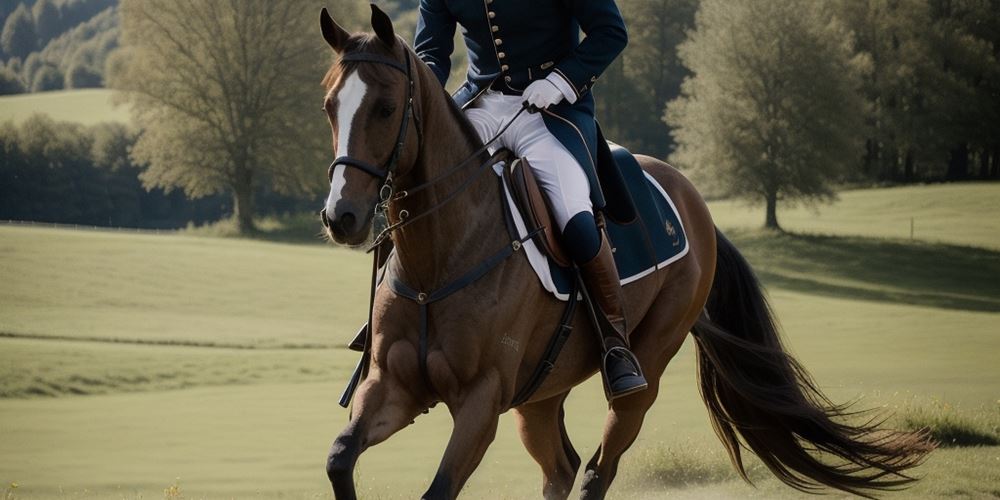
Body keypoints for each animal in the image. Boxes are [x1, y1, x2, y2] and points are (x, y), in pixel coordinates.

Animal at [316, 4, 932, 500]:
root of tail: (690, 199)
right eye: (329, 107)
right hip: (539, 394)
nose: (340, 217)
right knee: (561, 470)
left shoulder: (480, 402)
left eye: (385, 108)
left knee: (596, 470)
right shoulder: (392, 388)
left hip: (643, 373)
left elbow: (438, 488)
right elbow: (340, 460)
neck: (441, 258)